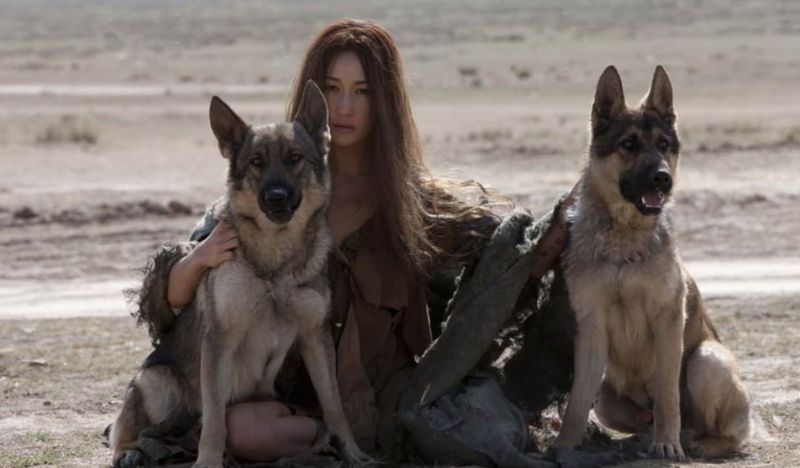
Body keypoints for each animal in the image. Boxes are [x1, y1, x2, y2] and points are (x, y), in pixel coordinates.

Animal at [110, 81, 369, 467]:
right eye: (256, 162)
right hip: (157, 382)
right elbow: (216, 420)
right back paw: (134, 452)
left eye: (294, 158)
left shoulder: (314, 336)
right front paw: (208, 462)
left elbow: (334, 406)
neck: (275, 259)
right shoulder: (219, 339)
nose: (276, 197)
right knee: (127, 430)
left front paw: (352, 452)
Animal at [553, 65, 750, 460]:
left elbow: (667, 394)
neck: (624, 240)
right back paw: (645, 438)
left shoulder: (668, 320)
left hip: (707, 360)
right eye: (628, 144)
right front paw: (564, 447)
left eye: (663, 145)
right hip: (607, 399)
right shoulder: (591, 326)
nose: (663, 179)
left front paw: (667, 444)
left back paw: (695, 442)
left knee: (724, 433)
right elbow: (577, 402)